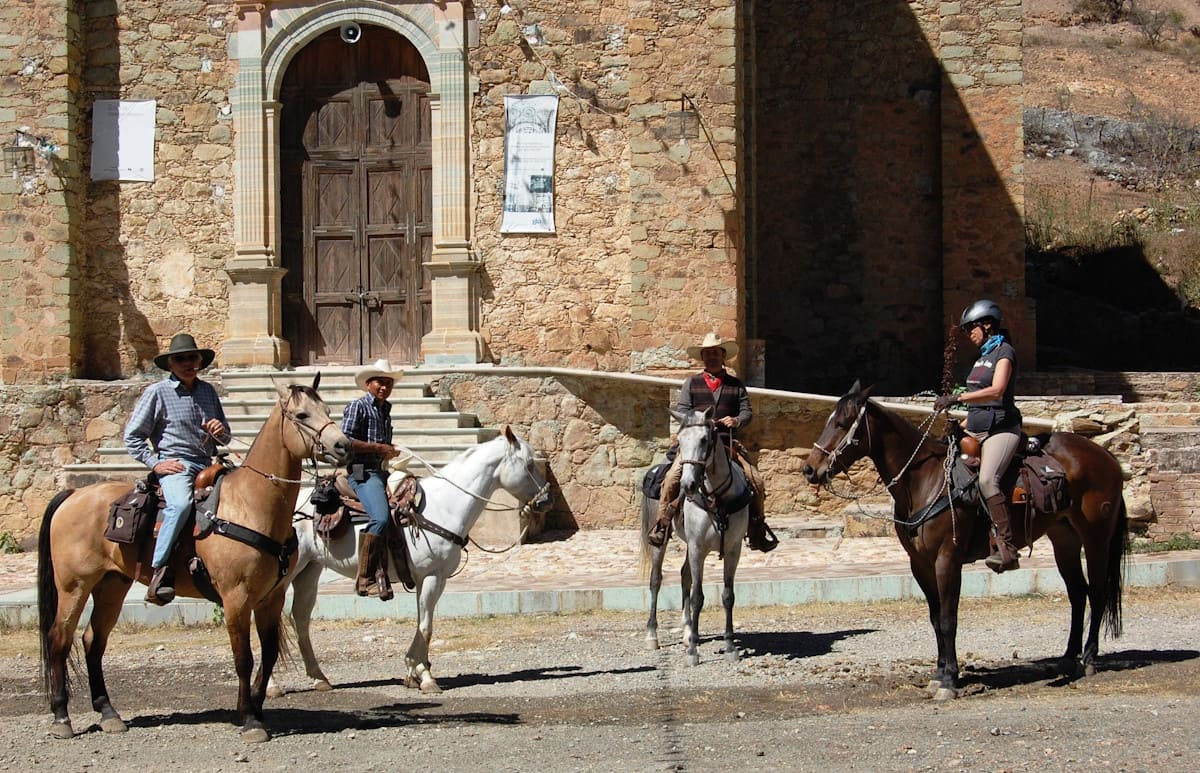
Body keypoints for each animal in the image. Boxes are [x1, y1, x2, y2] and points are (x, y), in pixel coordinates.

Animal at [36, 376, 350, 739]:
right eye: (302, 414)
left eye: (326, 408)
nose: (343, 445)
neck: (250, 505)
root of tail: (74, 494)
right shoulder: (236, 598)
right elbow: (244, 658)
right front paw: (250, 720)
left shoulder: (272, 596)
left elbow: (270, 653)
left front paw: (257, 708)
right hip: (74, 586)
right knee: (59, 639)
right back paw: (62, 718)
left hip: (112, 585)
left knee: (92, 641)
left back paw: (109, 713)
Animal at [266, 424, 549, 696]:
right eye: (529, 464)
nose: (545, 501)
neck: (443, 506)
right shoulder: (431, 576)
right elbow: (426, 626)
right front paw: (425, 677)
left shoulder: (435, 579)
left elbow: (424, 622)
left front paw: (414, 671)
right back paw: (272, 686)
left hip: (309, 570)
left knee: (300, 619)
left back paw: (319, 678)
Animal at [638, 408, 748, 667]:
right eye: (680, 442)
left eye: (704, 440)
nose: (688, 484)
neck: (718, 500)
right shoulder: (698, 548)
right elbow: (698, 596)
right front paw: (693, 652)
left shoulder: (733, 549)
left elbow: (728, 595)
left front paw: (730, 646)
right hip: (661, 541)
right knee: (656, 580)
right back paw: (652, 635)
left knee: (684, 575)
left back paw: (688, 631)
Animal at [801, 379, 1128, 700]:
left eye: (842, 423)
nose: (810, 468)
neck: (925, 480)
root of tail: (1108, 458)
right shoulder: (920, 564)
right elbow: (935, 619)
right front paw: (938, 675)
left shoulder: (947, 560)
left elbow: (949, 619)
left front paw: (949, 681)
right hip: (1064, 540)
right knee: (1077, 593)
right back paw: (1068, 658)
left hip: (1096, 538)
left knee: (1097, 592)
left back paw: (1088, 659)